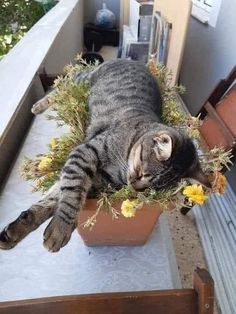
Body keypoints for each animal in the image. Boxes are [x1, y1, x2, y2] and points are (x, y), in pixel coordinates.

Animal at [0, 59, 210, 253]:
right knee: (62, 85)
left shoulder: (97, 179)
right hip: (82, 80)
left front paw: (19, 229)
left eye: (151, 189)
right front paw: (60, 229)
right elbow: (72, 193)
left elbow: (53, 198)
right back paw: (39, 105)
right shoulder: (84, 153)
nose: (133, 187)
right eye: (142, 173)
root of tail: (131, 59)